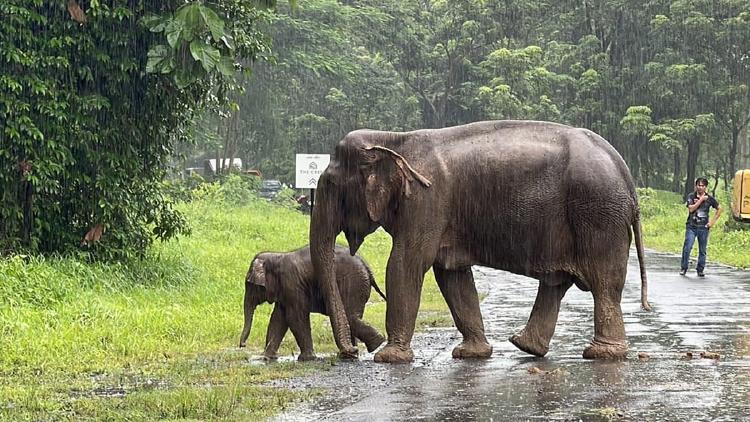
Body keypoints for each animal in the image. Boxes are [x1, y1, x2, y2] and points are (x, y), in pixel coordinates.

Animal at [239, 246, 388, 362]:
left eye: (250, 284)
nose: (243, 345)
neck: (276, 256)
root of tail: (367, 267)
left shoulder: (292, 284)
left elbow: (294, 318)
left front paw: (306, 359)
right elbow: (278, 319)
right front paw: (267, 358)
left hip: (353, 284)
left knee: (350, 316)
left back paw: (376, 344)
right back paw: (352, 354)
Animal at [312, 119, 652, 362]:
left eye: (330, 185)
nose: (351, 353)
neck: (392, 139)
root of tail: (625, 173)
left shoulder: (426, 201)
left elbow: (406, 263)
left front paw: (389, 358)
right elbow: (452, 275)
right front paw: (471, 354)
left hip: (597, 215)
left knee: (604, 282)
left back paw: (601, 354)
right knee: (558, 282)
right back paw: (526, 346)